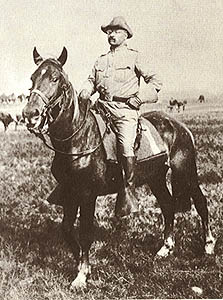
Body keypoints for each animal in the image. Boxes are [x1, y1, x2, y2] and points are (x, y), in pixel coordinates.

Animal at [22, 48, 216, 290]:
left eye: (55, 79)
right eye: (32, 78)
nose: (30, 115)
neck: (78, 138)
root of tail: (179, 126)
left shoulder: (87, 194)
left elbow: (85, 232)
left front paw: (82, 275)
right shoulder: (70, 192)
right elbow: (67, 229)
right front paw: (81, 265)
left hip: (186, 172)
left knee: (200, 202)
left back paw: (208, 245)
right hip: (156, 178)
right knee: (167, 205)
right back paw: (166, 248)